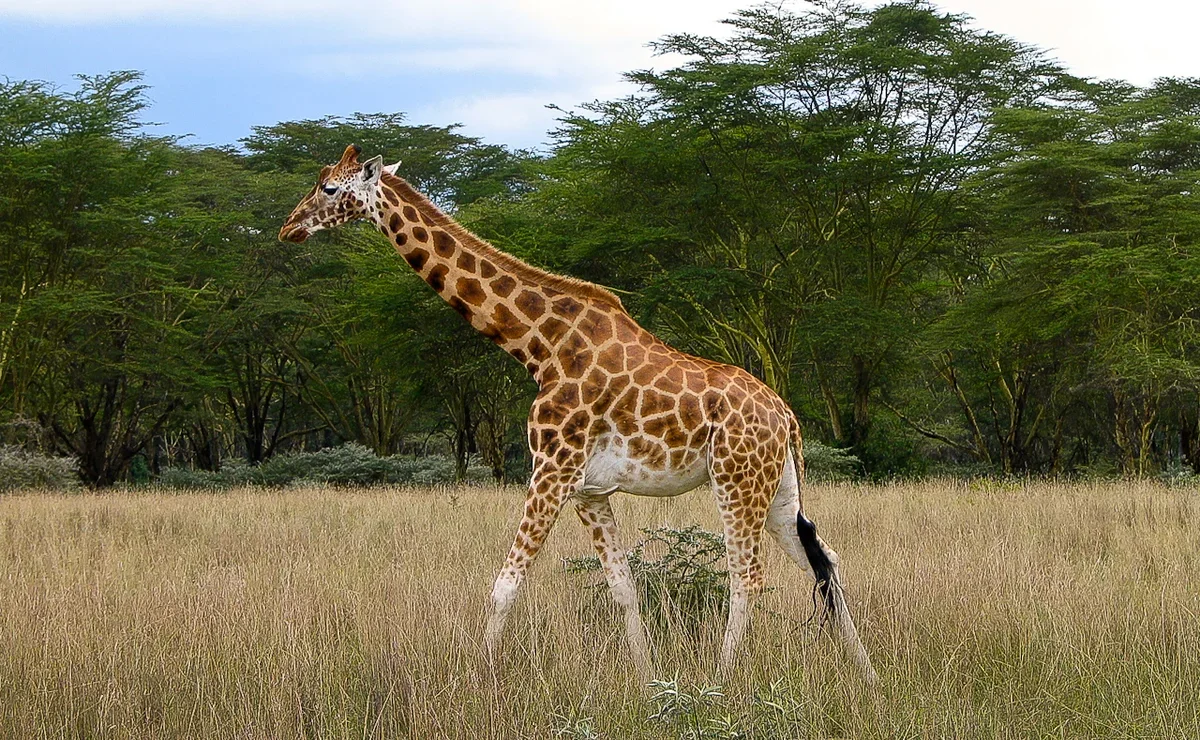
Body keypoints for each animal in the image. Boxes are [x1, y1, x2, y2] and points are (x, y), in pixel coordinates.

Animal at [276, 144, 878, 681]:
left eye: (328, 188)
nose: (288, 229)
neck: (538, 346)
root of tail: (787, 416)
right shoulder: (588, 489)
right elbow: (623, 587)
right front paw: (647, 679)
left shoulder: (551, 469)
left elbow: (506, 584)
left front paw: (477, 676)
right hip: (778, 489)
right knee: (825, 561)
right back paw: (865, 674)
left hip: (736, 479)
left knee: (746, 576)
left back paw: (724, 679)